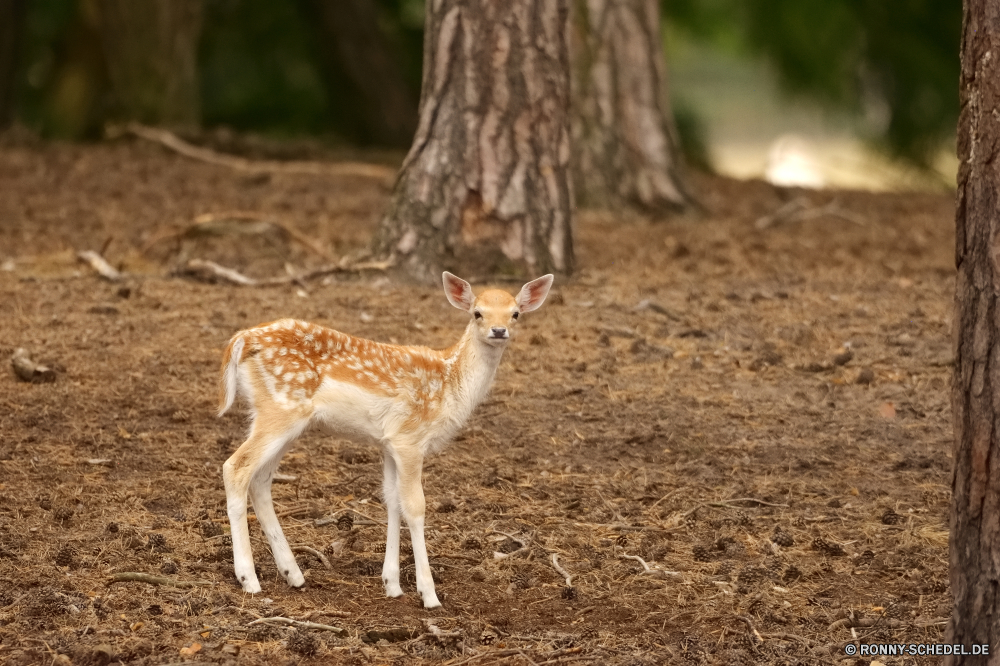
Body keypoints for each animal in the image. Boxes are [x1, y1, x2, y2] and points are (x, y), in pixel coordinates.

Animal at [216, 270, 556, 608]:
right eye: (477, 313)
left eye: (515, 313)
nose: (499, 330)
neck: (449, 385)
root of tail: (240, 339)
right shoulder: (410, 439)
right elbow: (415, 507)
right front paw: (429, 594)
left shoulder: (390, 443)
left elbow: (392, 501)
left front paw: (392, 584)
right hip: (281, 409)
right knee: (236, 467)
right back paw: (249, 579)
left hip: (280, 418)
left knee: (261, 479)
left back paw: (293, 574)